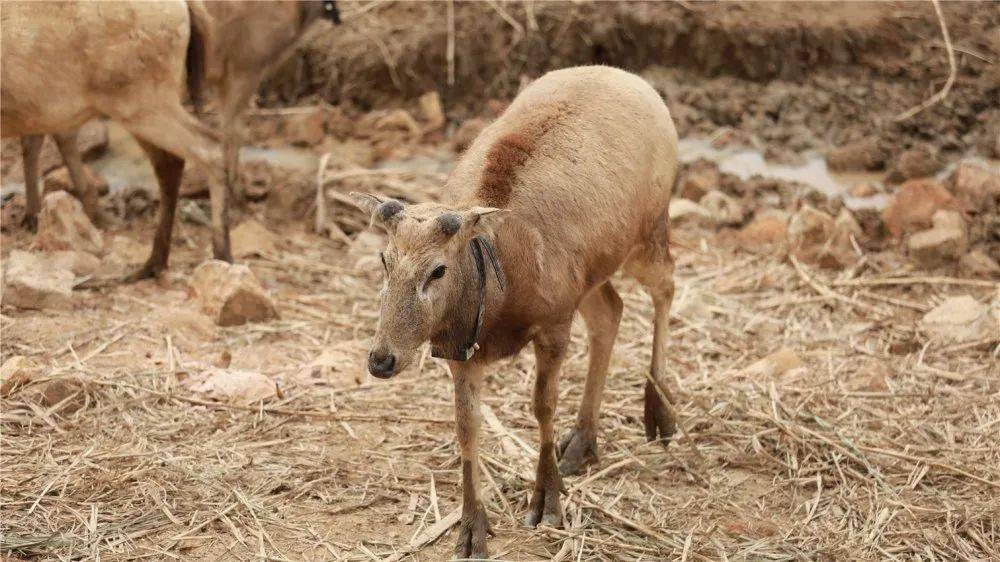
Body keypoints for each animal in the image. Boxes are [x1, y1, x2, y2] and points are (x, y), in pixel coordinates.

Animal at [350, 64, 680, 556]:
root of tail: (634, 80)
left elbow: (543, 405)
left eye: (438, 270)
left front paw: (548, 500)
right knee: (612, 311)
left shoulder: (554, 324)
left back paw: (660, 411)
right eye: (384, 260)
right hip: (591, 277)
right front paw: (471, 528)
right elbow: (466, 426)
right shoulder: (460, 350)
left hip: (649, 230)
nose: (381, 359)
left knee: (666, 286)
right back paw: (583, 440)